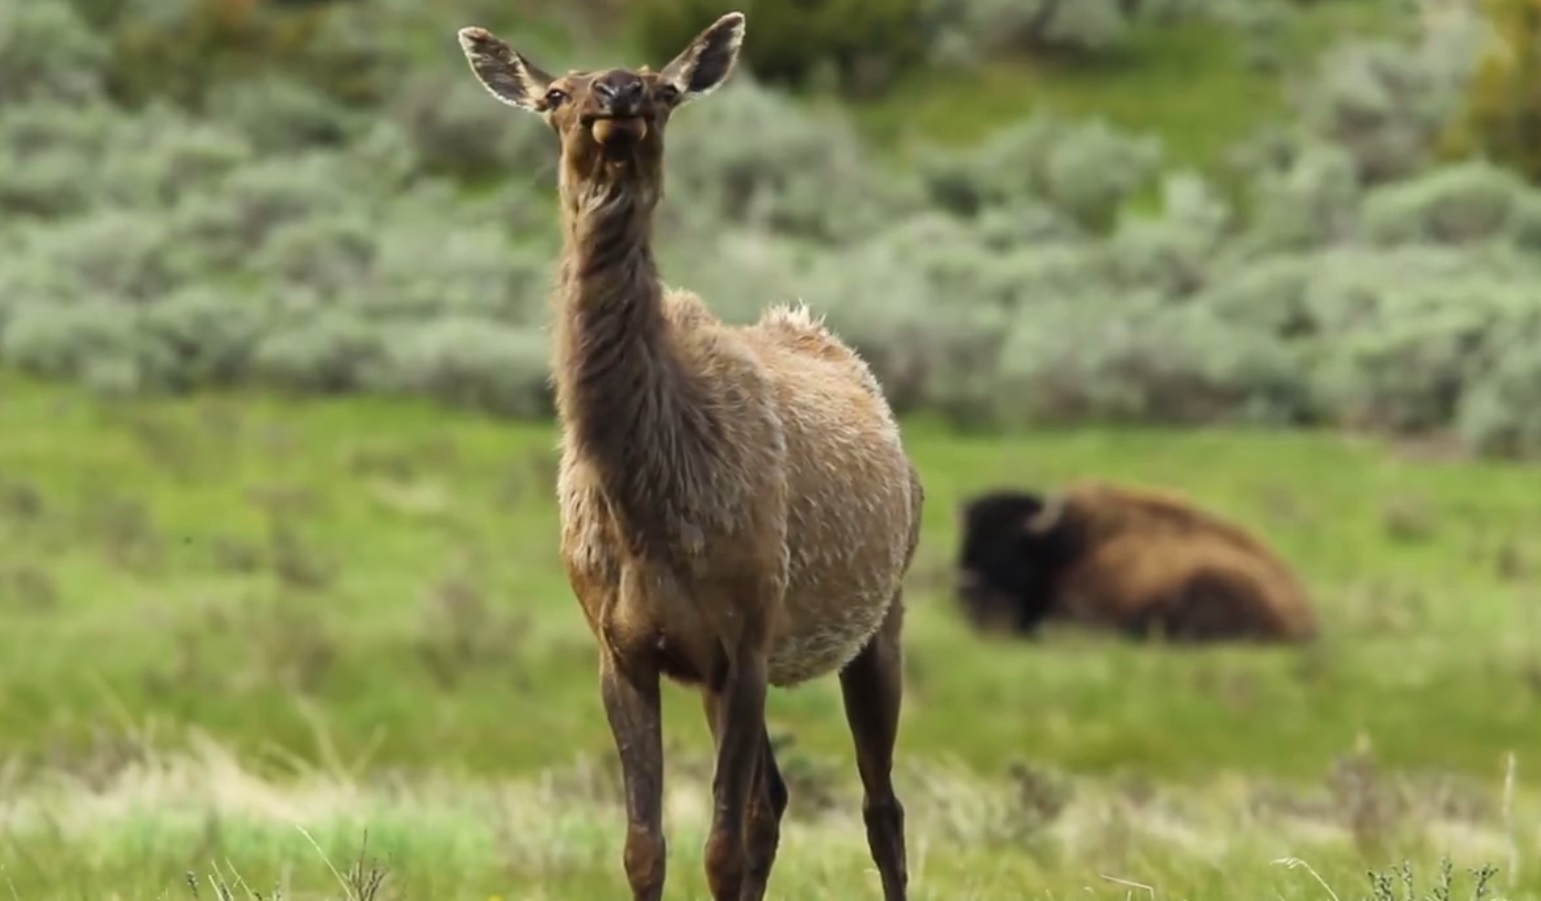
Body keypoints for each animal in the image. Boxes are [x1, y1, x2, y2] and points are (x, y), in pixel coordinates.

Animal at [455, 12, 923, 901]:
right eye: (556, 93)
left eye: (664, 88)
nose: (618, 93)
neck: (646, 504)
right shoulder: (626, 649)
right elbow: (646, 846)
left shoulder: (745, 637)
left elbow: (720, 847)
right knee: (775, 799)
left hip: (879, 618)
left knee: (881, 808)